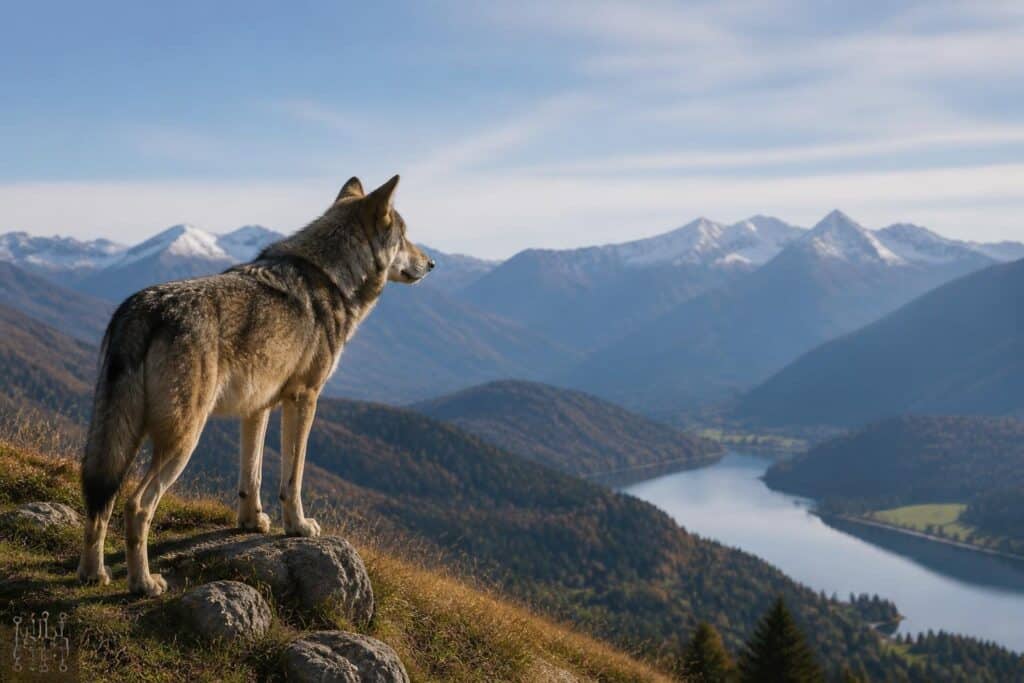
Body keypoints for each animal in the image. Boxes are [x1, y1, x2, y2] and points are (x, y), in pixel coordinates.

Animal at [77, 175, 434, 596]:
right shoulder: (304, 398)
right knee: (137, 505)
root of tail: (142, 309)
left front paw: (252, 522)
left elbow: (252, 474)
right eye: (405, 236)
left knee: (101, 499)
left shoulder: (258, 406)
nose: (432, 263)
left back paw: (93, 574)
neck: (333, 278)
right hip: (183, 440)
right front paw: (298, 527)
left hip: (120, 437)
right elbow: (293, 477)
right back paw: (143, 582)